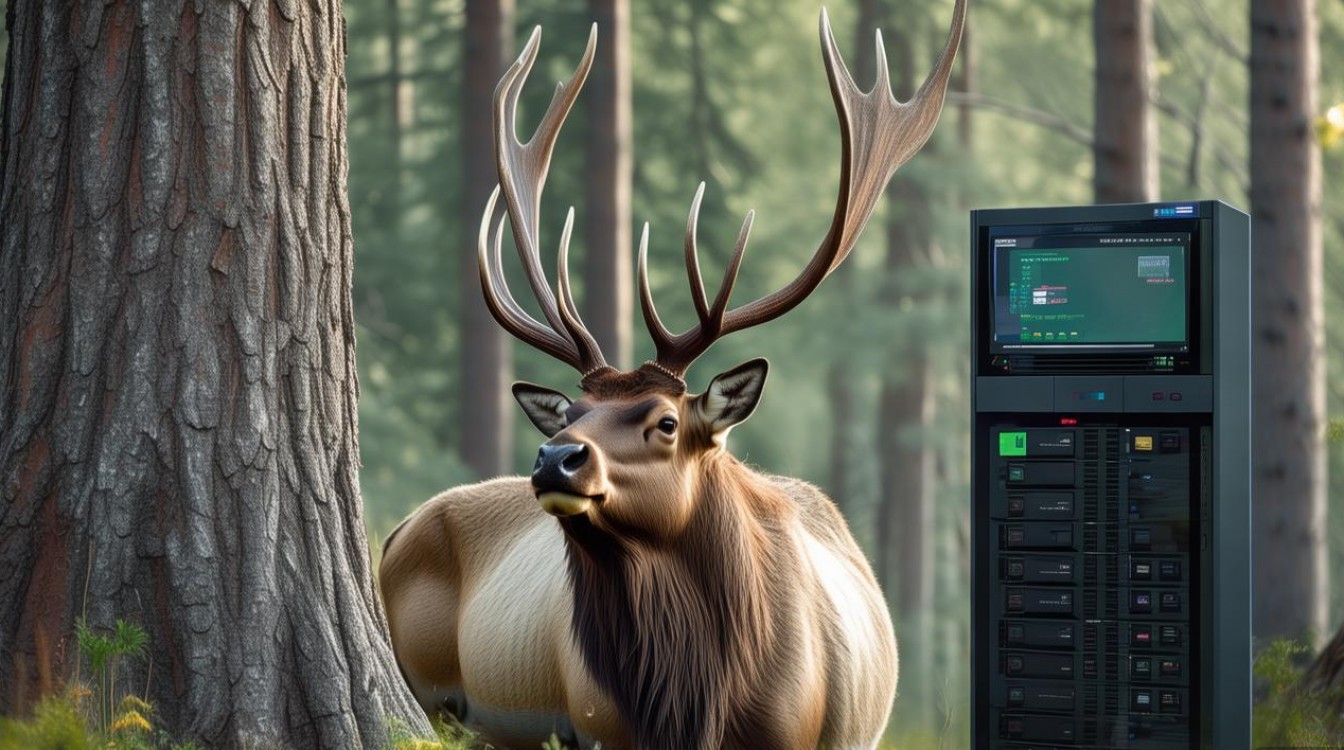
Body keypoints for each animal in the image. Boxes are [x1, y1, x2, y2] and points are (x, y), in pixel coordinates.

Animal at [379, 3, 964, 749]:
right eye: (572, 411)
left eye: (664, 419)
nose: (554, 458)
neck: (708, 703)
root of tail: (394, 532)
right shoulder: (598, 725)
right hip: (432, 695)